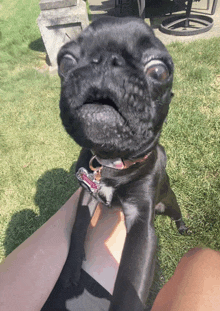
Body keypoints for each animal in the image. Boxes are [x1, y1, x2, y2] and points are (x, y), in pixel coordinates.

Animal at [41, 16, 187, 311]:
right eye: (65, 61)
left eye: (159, 71)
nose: (106, 60)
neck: (110, 163)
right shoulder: (86, 197)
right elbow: (77, 229)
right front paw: (69, 270)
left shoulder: (141, 225)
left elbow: (130, 283)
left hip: (169, 201)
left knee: (177, 212)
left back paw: (183, 227)